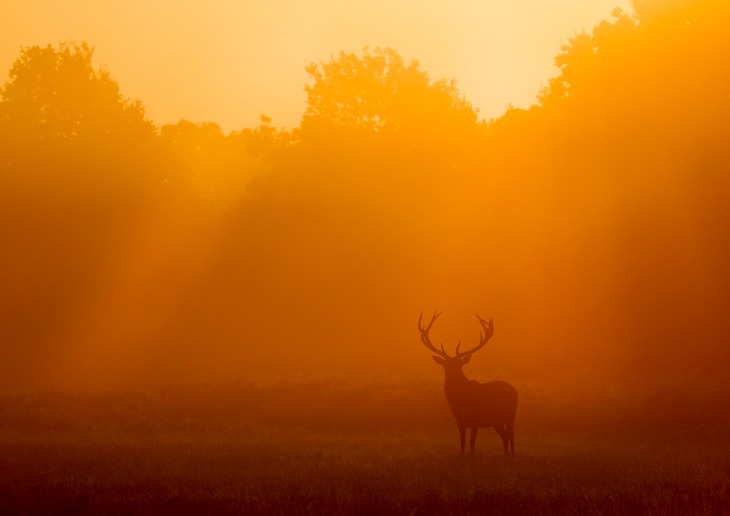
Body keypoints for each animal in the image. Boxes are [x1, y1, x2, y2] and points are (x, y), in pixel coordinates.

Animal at [418, 310, 516, 456]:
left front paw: (472, 457)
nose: (450, 373)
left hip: (510, 416)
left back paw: (512, 456)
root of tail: (515, 391)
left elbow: (472, 442)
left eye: (459, 365)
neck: (461, 403)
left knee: (511, 436)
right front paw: (463, 457)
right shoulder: (460, 422)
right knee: (505, 436)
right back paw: (505, 455)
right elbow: (462, 443)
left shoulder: (475, 420)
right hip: (496, 421)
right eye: (445, 365)